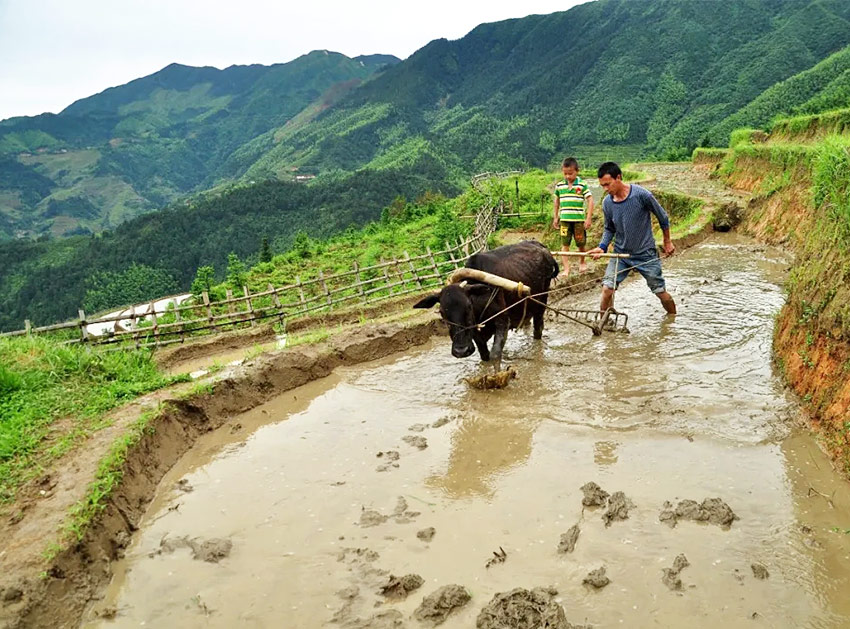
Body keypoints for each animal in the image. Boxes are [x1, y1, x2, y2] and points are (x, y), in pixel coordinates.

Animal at [410, 240, 556, 368]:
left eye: (469, 306)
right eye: (441, 312)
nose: (461, 351)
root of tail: (540, 246)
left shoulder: (502, 321)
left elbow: (495, 354)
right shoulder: (475, 332)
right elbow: (484, 354)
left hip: (542, 301)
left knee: (538, 328)